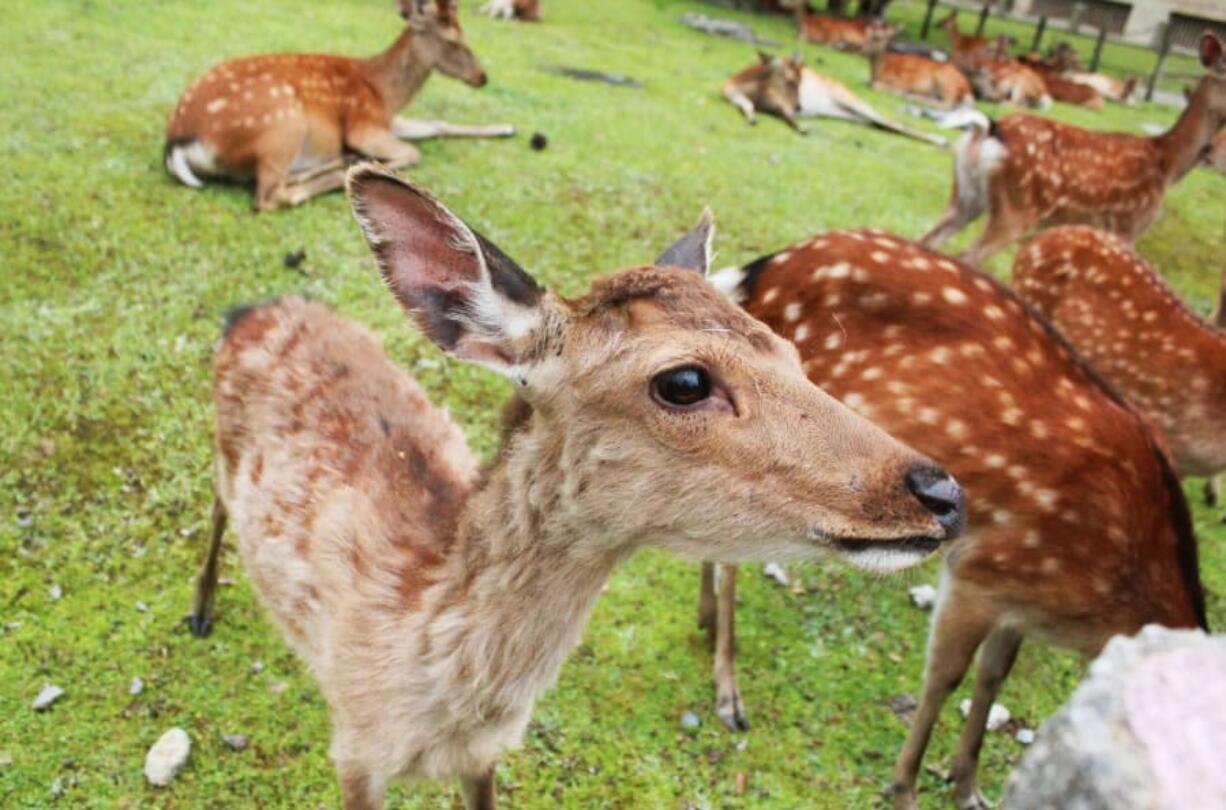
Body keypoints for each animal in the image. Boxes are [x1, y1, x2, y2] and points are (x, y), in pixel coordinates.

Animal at [163, 0, 512, 208]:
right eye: (454, 41)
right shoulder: (363, 124)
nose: (482, 77)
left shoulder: (386, 120)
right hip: (283, 122)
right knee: (272, 196)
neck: (384, 92)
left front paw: (508, 128)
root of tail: (177, 142)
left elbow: (435, 125)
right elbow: (414, 152)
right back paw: (345, 170)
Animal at [186, 165, 966, 808]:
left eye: (793, 352)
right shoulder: (351, 746)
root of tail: (254, 308)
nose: (943, 494)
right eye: (684, 381)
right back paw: (199, 611)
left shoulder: (485, 757)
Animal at [701, 229, 1206, 808]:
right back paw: (729, 693)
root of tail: (765, 269)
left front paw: (967, 784)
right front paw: (905, 787)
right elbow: (945, 676)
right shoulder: (982, 571)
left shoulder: (1022, 599)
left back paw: (705, 621)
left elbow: (993, 677)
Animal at [720, 52, 951, 145]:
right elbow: (747, 106)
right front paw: (752, 118)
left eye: (799, 80)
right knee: (882, 124)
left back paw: (942, 140)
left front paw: (803, 128)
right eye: (791, 79)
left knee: (889, 121)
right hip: (846, 113)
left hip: (850, 100)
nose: (799, 106)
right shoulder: (732, 94)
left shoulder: (779, 104)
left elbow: (787, 116)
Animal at [921, 31, 1226, 263]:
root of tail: (989, 129)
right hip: (1018, 209)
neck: (1168, 163)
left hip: (966, 195)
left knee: (929, 240)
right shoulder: (1128, 226)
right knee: (967, 256)